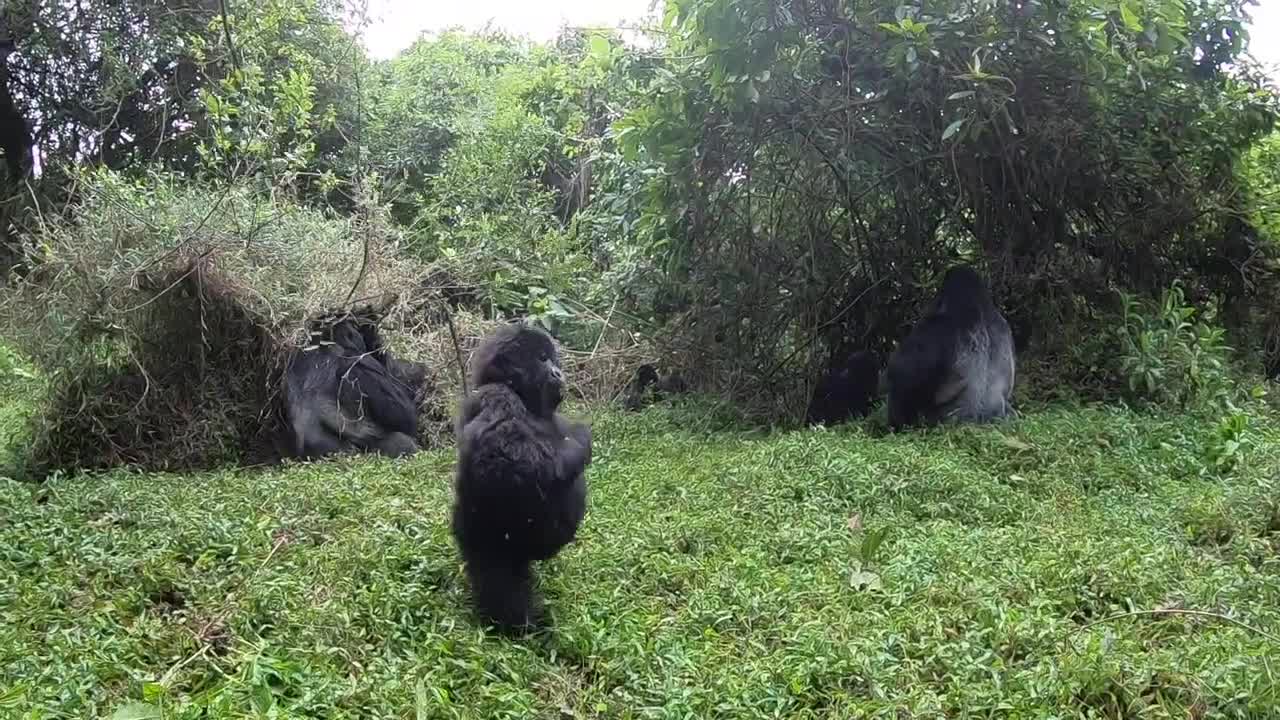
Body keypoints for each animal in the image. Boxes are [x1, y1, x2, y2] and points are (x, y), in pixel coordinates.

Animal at [453, 322, 591, 630]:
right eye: (542, 359)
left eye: (552, 359)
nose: (558, 372)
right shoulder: (496, 397)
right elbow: (502, 457)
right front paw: (580, 440)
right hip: (486, 536)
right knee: (500, 577)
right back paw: (516, 624)